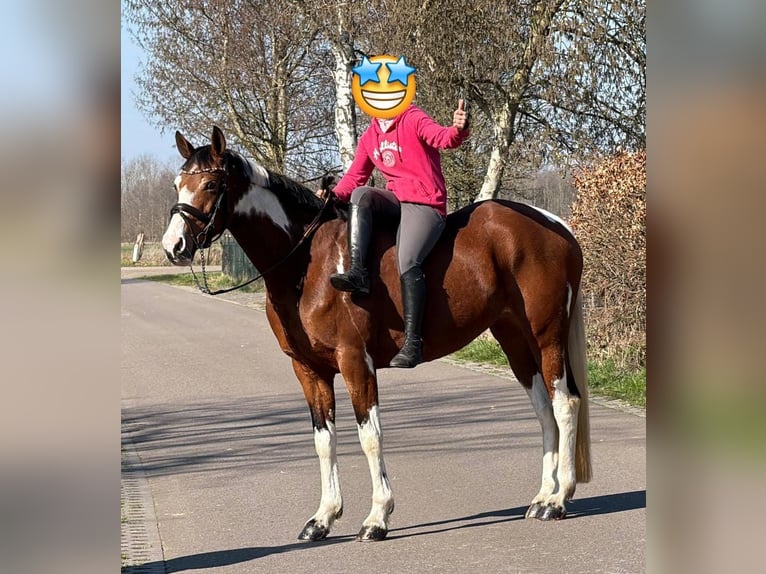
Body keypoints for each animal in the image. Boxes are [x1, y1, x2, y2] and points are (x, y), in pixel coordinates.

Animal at [161, 126, 591, 542]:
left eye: (211, 184)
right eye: (178, 183)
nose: (173, 246)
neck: (308, 264)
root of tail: (556, 226)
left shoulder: (355, 362)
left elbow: (370, 436)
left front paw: (377, 517)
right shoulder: (309, 370)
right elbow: (324, 440)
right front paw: (323, 518)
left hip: (546, 336)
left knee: (564, 403)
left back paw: (558, 499)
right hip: (514, 338)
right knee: (543, 408)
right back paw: (542, 495)